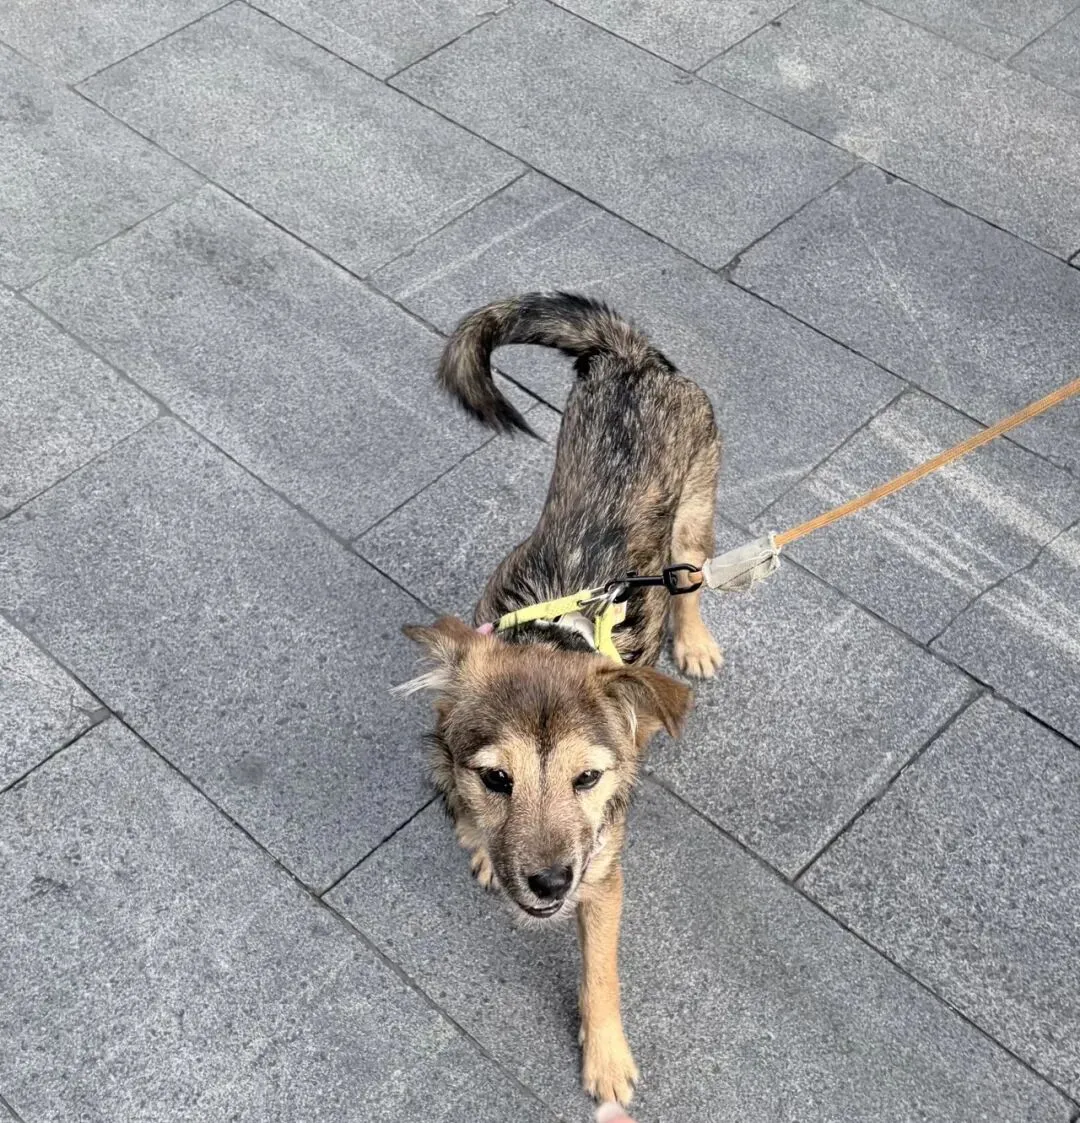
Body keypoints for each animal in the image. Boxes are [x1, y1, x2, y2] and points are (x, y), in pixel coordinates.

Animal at [399, 292, 722, 1105]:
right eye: (495, 777)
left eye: (588, 778)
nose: (548, 883)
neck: (556, 633)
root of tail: (632, 355)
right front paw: (484, 852)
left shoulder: (603, 875)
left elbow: (600, 969)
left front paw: (605, 1057)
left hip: (693, 517)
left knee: (690, 582)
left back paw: (695, 643)